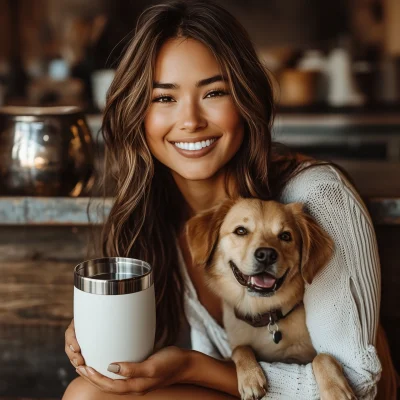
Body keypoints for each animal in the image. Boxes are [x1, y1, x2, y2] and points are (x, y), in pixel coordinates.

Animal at [185, 198, 356, 400]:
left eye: (285, 236)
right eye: (241, 231)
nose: (266, 255)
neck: (264, 311)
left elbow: (322, 357)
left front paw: (335, 389)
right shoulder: (236, 348)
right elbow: (240, 349)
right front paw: (250, 377)